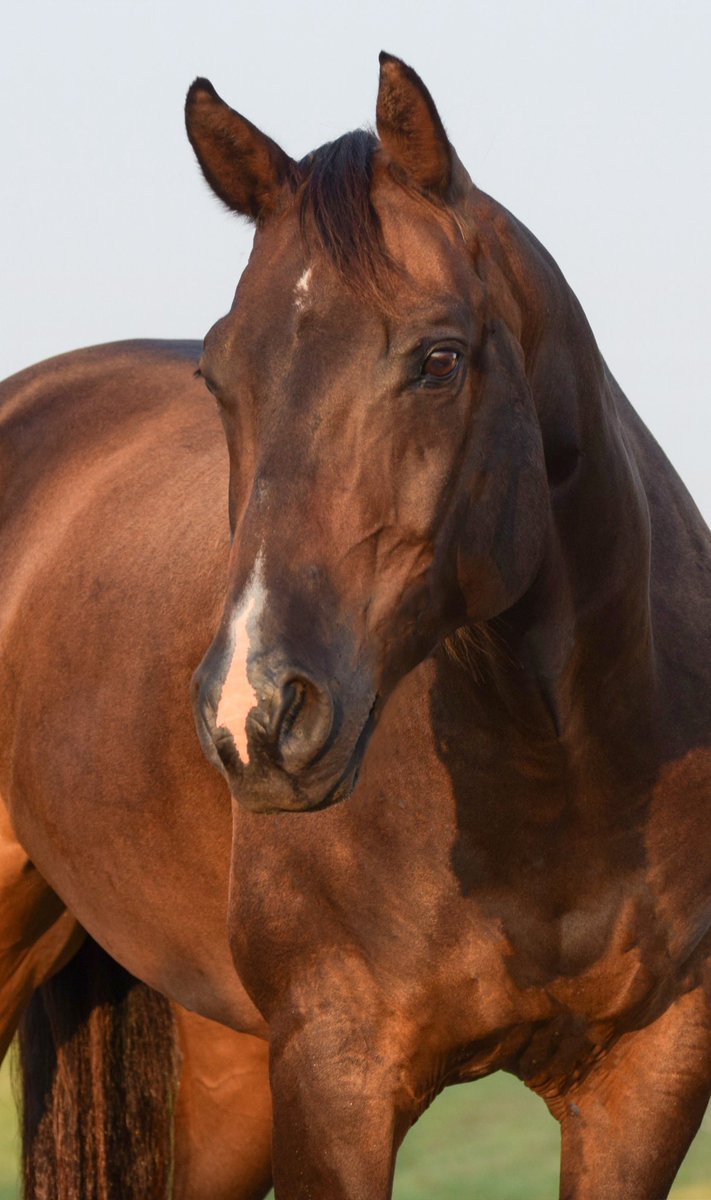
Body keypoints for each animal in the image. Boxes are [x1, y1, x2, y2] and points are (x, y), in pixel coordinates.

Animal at [1, 50, 710, 1199]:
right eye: (218, 374)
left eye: (439, 358)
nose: (252, 716)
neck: (560, 768)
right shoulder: (335, 1075)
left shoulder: (649, 1076)